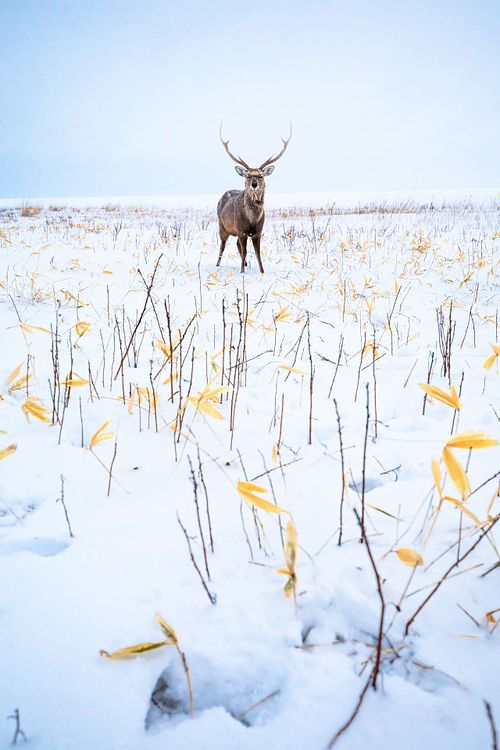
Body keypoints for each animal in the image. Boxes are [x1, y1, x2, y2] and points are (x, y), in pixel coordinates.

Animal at [216, 123, 292, 274]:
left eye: (261, 175)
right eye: (248, 175)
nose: (254, 184)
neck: (251, 219)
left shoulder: (258, 231)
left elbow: (258, 253)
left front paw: (262, 271)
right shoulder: (240, 230)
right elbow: (245, 251)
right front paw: (242, 272)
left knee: (236, 245)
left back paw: (244, 264)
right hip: (222, 225)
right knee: (222, 246)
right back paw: (218, 264)